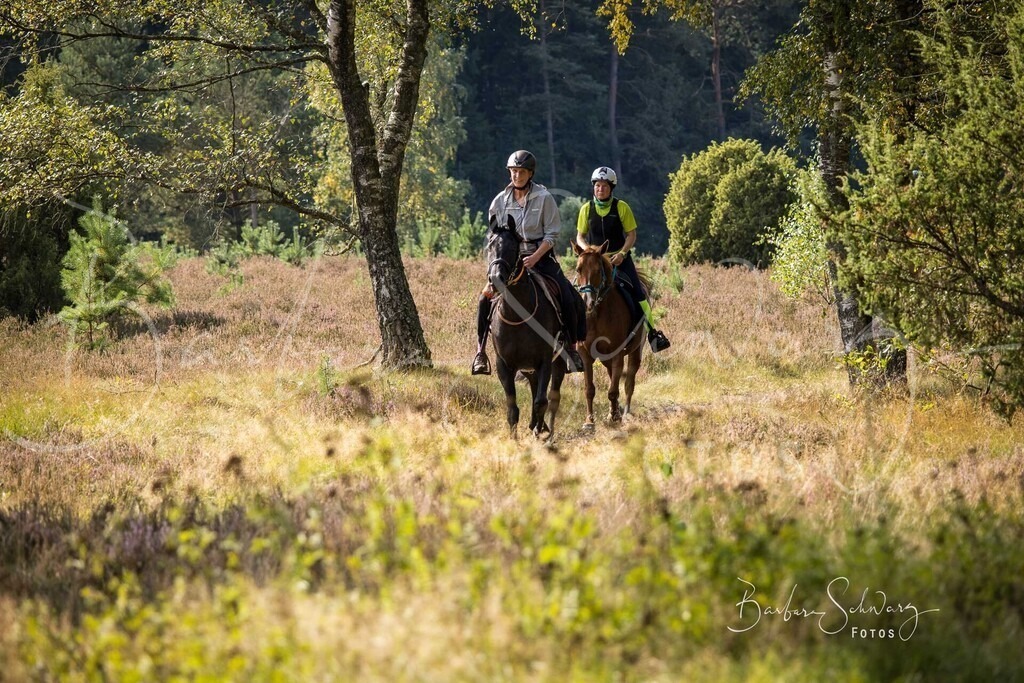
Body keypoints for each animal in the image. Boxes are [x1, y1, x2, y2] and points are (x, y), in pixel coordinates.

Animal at [486, 216, 568, 441]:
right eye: (490, 245)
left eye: (513, 247)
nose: (495, 279)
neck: (519, 316)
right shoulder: (504, 365)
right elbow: (512, 408)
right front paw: (514, 440)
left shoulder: (545, 361)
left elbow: (541, 402)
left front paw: (539, 434)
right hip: (528, 368)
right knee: (534, 387)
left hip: (557, 364)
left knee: (552, 398)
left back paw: (547, 431)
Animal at [572, 242, 646, 426]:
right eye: (578, 269)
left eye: (598, 270)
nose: (587, 302)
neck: (597, 314)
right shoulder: (585, 354)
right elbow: (589, 389)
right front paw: (589, 421)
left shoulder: (617, 352)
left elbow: (614, 389)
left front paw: (615, 416)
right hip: (606, 358)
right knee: (614, 376)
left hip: (635, 351)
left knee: (628, 382)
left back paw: (625, 413)